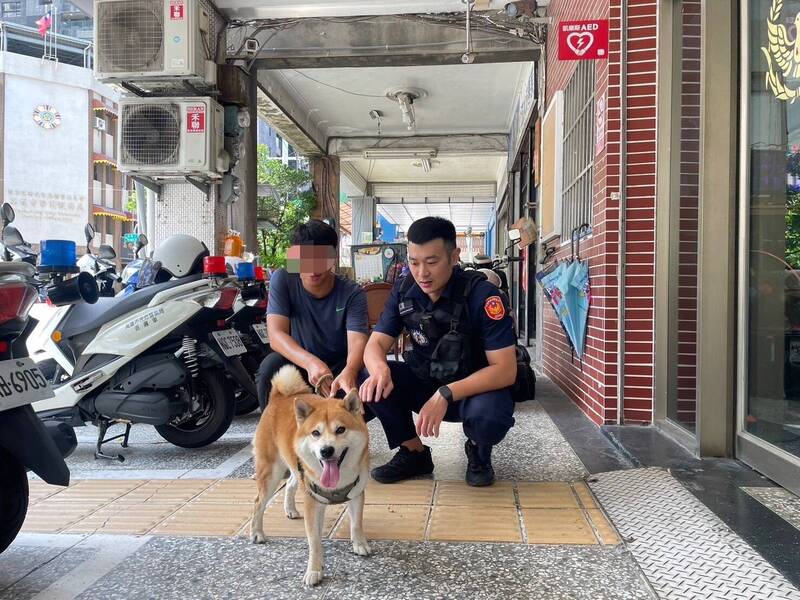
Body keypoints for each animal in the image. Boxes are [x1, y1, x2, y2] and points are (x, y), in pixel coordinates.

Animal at [248, 366, 370, 584]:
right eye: (315, 433)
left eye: (341, 429)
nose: (326, 450)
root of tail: (278, 397)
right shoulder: (312, 502)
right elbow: (314, 541)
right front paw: (314, 570)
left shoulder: (356, 494)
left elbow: (356, 524)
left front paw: (359, 544)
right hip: (271, 472)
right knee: (258, 502)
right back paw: (257, 533)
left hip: (297, 469)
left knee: (289, 484)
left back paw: (290, 509)